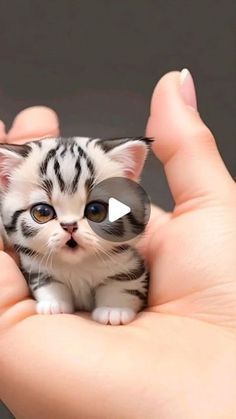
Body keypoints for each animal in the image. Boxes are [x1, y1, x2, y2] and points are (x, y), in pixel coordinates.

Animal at [0, 136, 150, 326]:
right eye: (42, 212)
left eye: (95, 211)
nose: (69, 226)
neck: (78, 266)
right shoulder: (36, 268)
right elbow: (48, 283)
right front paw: (53, 304)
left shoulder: (129, 264)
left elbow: (122, 284)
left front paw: (114, 310)